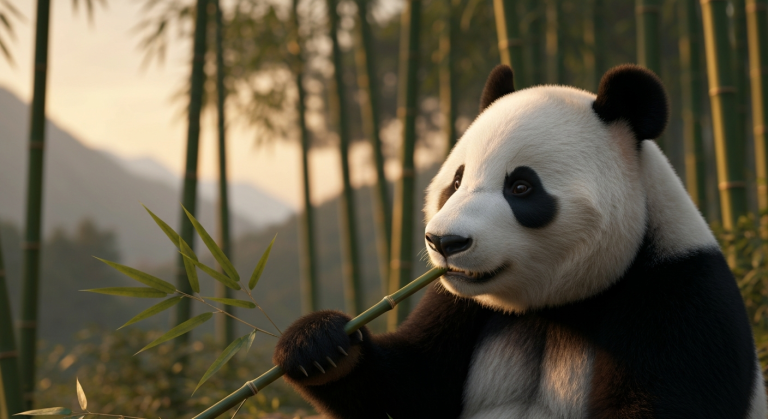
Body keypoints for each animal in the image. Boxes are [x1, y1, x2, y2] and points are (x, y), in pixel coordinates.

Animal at [273, 64, 768, 419]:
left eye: (522, 187)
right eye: (456, 181)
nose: (444, 242)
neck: (553, 308)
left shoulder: (678, 297)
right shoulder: (461, 304)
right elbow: (410, 387)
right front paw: (317, 345)